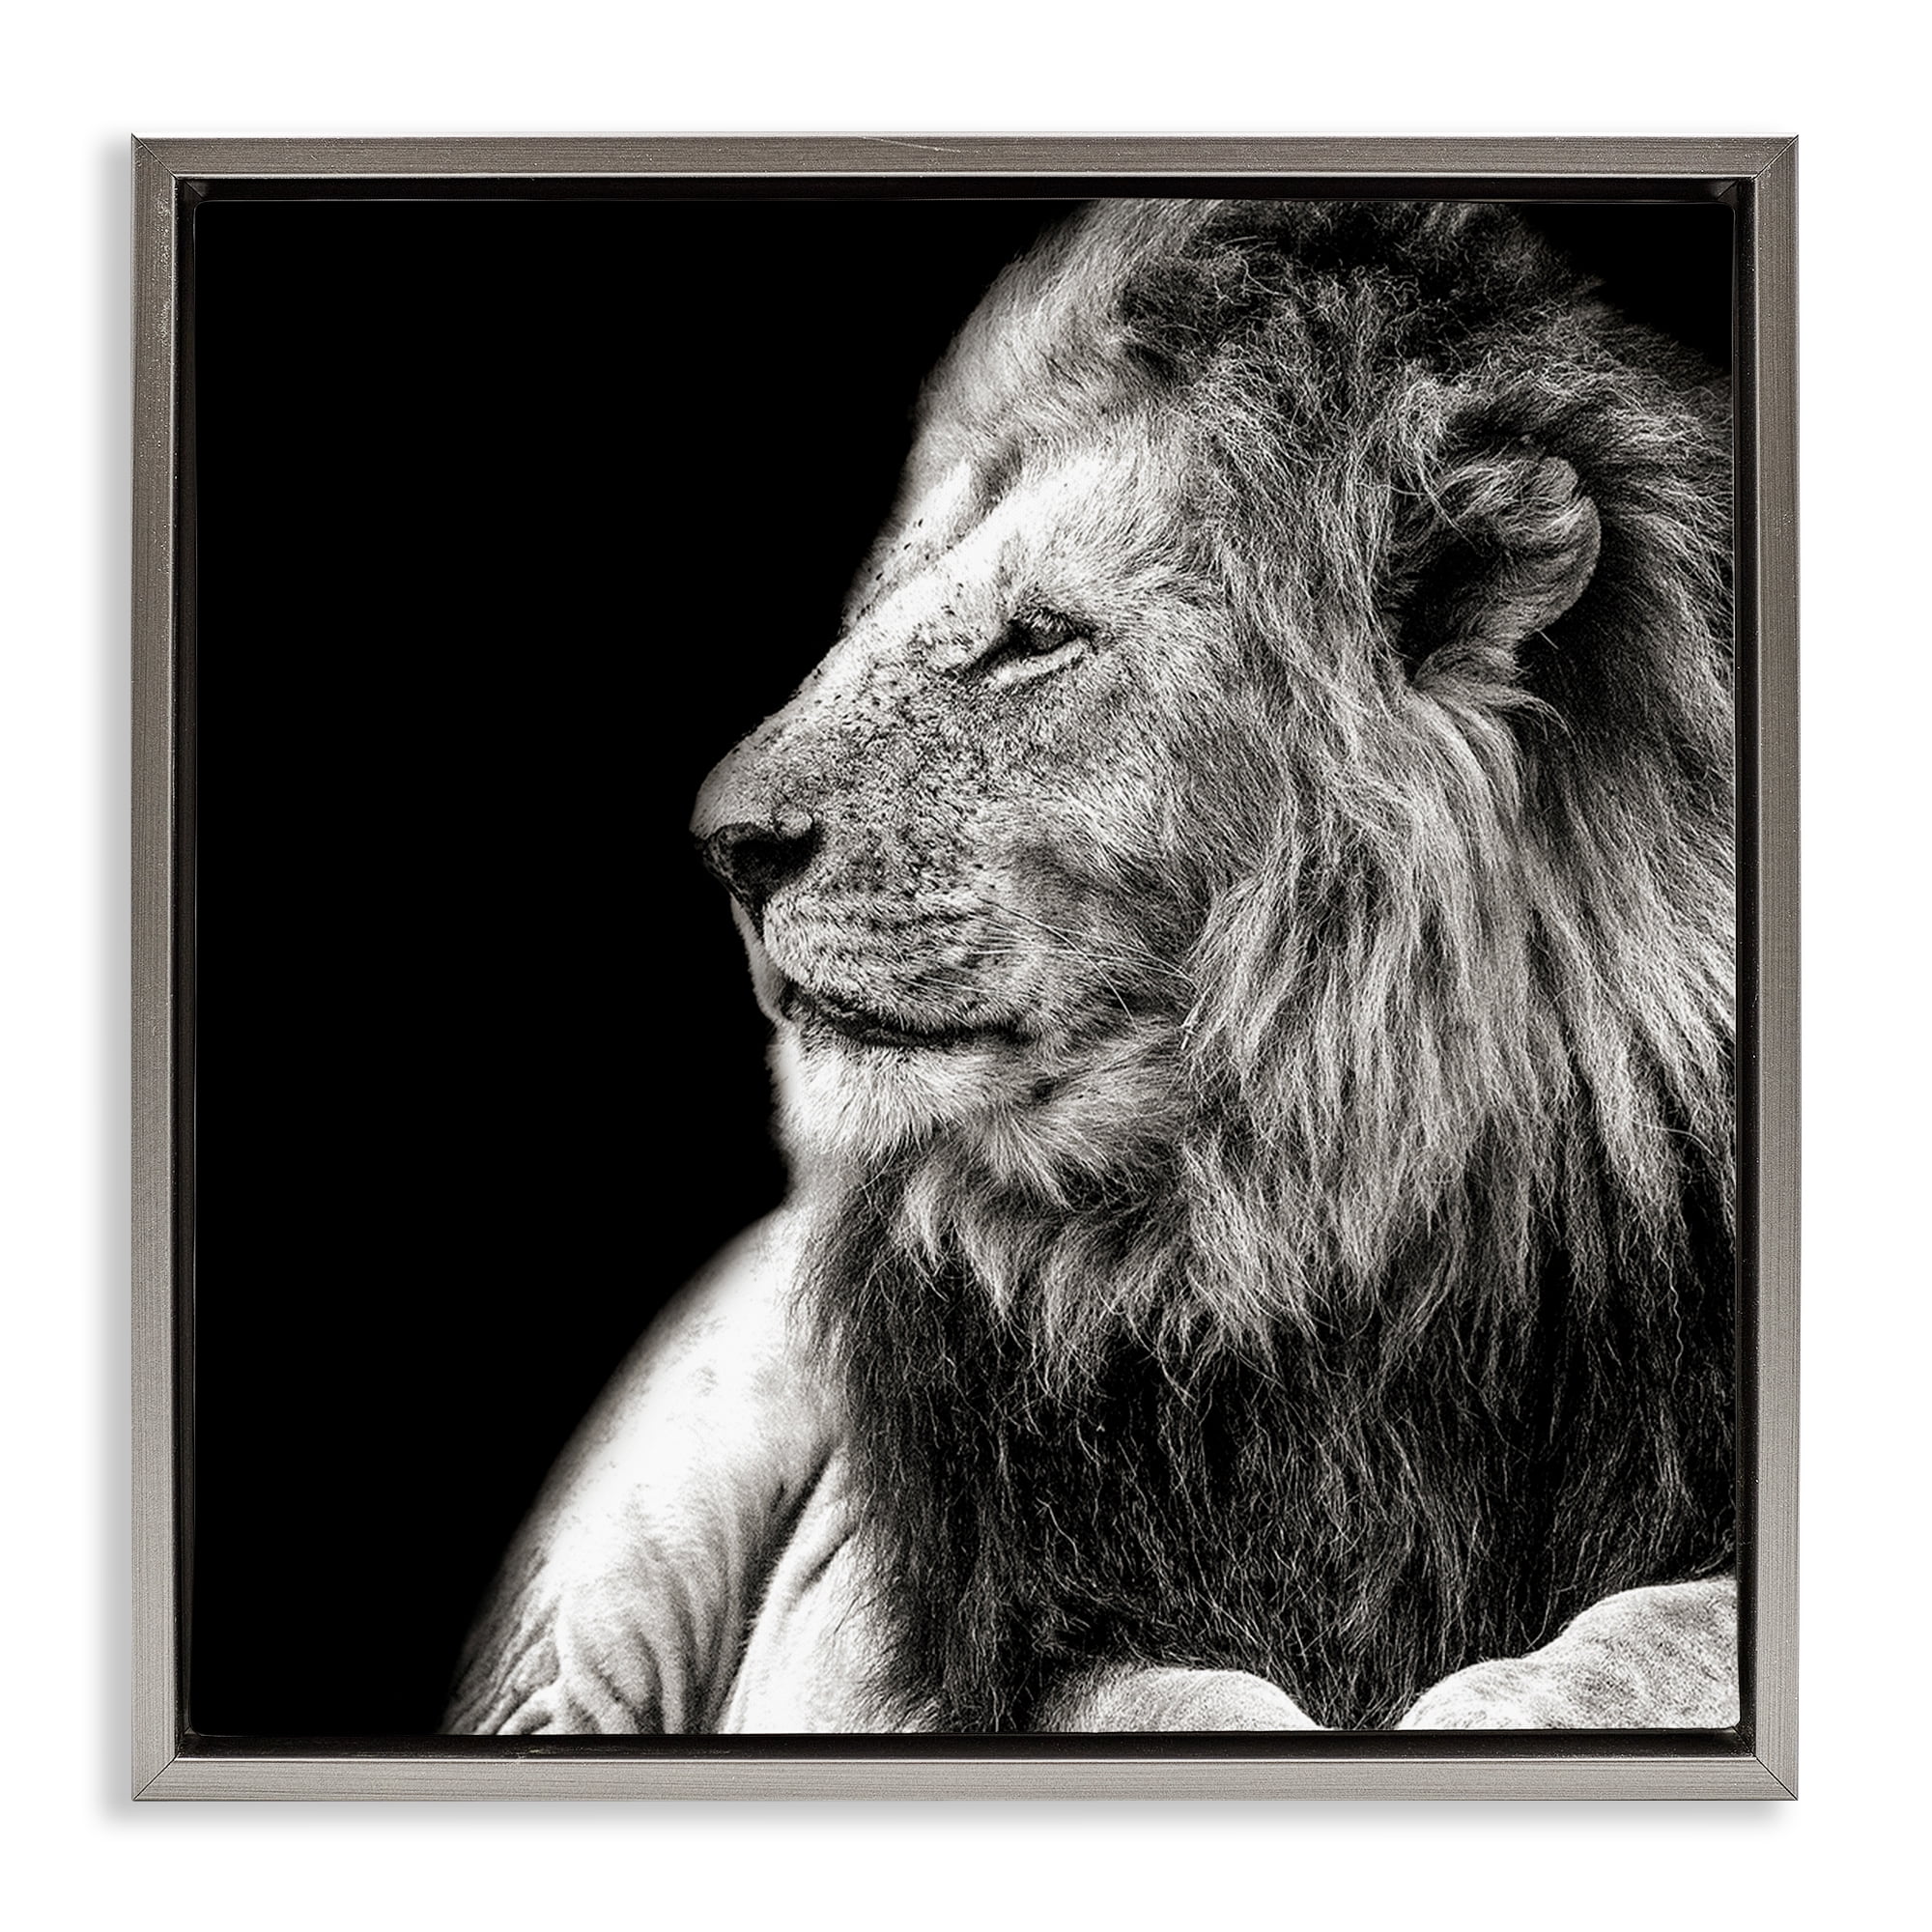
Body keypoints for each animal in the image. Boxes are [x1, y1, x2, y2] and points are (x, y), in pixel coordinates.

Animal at [446, 200, 1738, 1735]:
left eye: (1036, 640)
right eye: (876, 614)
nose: (724, 845)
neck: (1305, 1226)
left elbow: (1661, 1628)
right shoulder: (974, 1635)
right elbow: (1178, 1704)